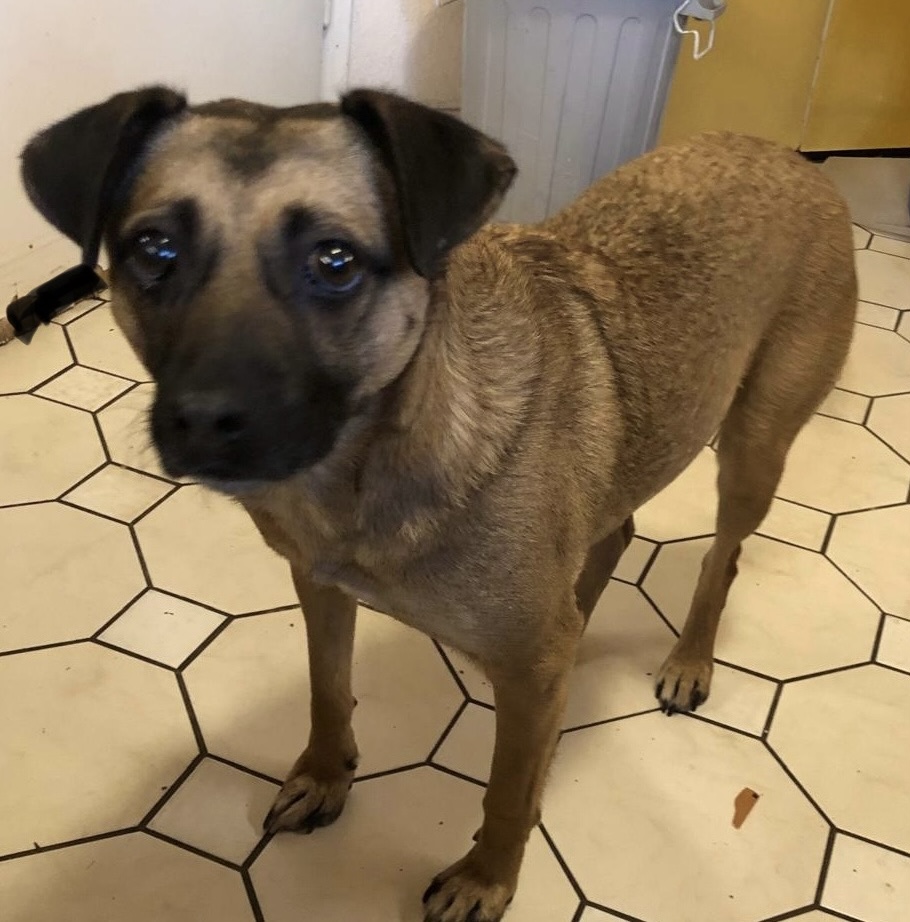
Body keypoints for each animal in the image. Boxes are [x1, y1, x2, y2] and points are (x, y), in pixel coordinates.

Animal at [21, 87, 856, 921]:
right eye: (153, 250)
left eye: (334, 261)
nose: (202, 422)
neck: (376, 457)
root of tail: (786, 155)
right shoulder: (319, 588)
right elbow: (329, 692)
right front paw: (326, 775)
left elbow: (507, 796)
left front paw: (486, 879)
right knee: (612, 536)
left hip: (752, 446)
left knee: (722, 557)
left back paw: (687, 659)